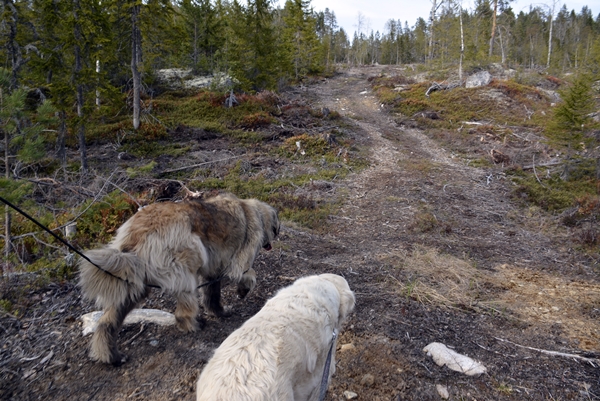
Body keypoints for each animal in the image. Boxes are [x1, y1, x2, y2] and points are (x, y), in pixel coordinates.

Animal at [77, 192, 278, 364]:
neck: (251, 211)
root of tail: (135, 233)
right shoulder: (241, 256)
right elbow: (246, 273)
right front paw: (243, 290)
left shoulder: (213, 270)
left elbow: (212, 293)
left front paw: (219, 311)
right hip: (185, 259)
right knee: (182, 309)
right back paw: (193, 324)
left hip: (131, 281)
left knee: (108, 320)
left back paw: (111, 355)